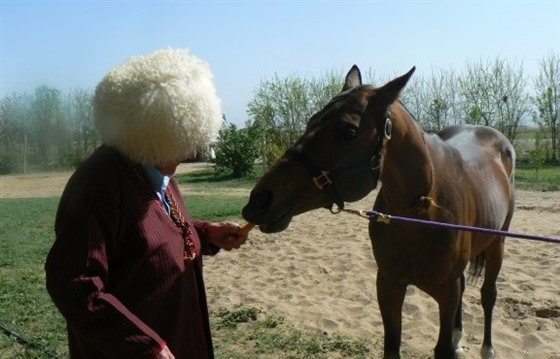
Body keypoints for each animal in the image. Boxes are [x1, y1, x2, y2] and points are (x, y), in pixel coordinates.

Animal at [243, 66, 520, 358]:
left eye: (349, 131)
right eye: (311, 121)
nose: (260, 200)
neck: (421, 210)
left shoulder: (446, 292)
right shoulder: (389, 285)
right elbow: (392, 346)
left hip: (497, 243)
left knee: (488, 294)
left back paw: (487, 349)